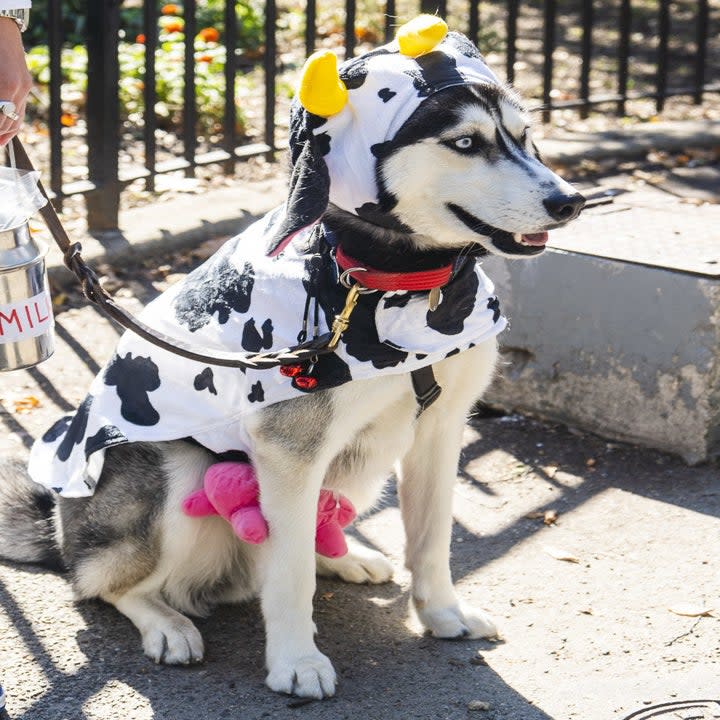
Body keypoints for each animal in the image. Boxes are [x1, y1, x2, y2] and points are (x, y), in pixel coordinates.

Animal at [0, 18, 584, 704]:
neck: (391, 281)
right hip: (175, 474)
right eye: (466, 142)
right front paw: (297, 663)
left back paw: (345, 556)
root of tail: (57, 526)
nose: (570, 201)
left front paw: (442, 614)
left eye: (526, 137)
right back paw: (165, 623)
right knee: (103, 583)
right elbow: (289, 576)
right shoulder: (288, 453)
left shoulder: (440, 431)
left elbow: (432, 539)